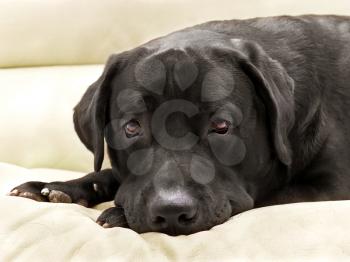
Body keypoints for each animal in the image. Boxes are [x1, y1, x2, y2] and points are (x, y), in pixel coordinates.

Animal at [8, 14, 350, 235]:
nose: (171, 211)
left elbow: (266, 196)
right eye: (131, 127)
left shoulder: (331, 186)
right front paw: (60, 187)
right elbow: (109, 173)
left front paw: (118, 214)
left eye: (221, 126)